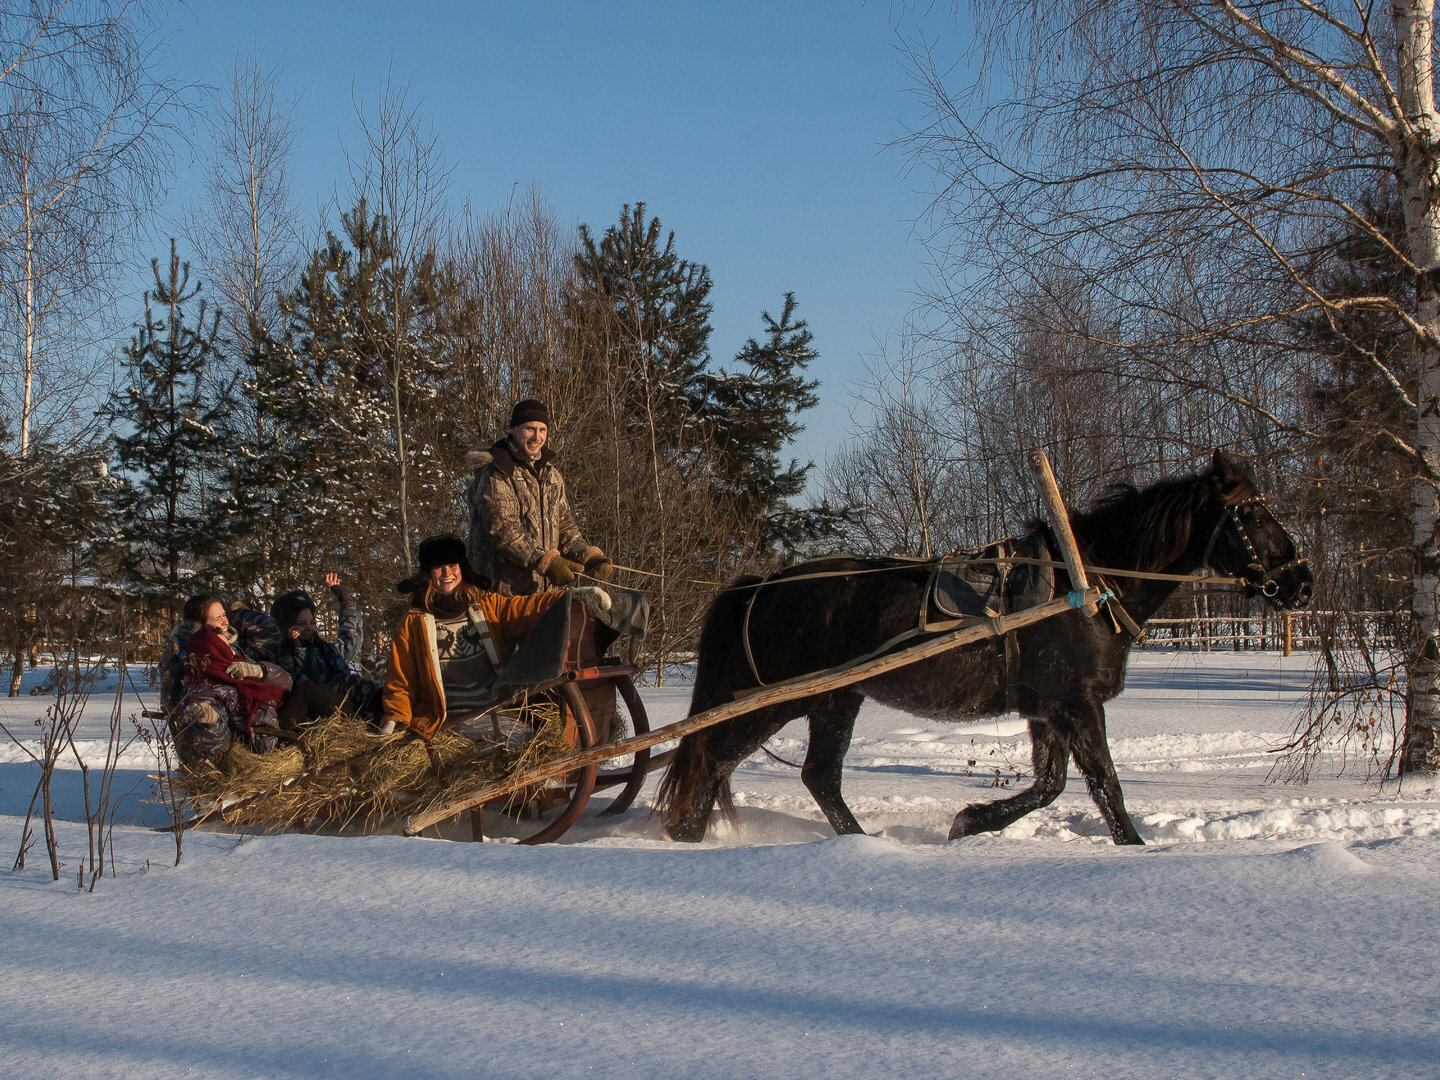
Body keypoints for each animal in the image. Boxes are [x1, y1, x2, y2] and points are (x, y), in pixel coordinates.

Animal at [659, 452, 1313, 852]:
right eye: (1252, 513)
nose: (1303, 583)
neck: (1086, 586)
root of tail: (760, 586)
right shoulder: (1079, 705)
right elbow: (1107, 785)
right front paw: (1134, 847)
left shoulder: (1050, 709)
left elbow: (1051, 785)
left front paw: (968, 822)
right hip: (778, 699)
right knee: (715, 758)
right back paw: (686, 838)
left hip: (835, 701)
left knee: (816, 776)